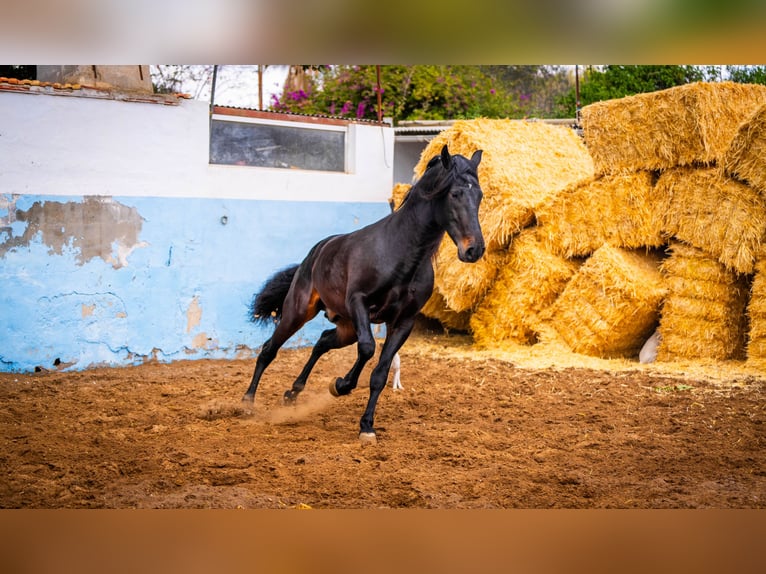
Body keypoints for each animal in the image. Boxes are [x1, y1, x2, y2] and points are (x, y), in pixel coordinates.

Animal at [243, 146, 486, 444]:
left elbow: (380, 372)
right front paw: (341, 385)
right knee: (269, 349)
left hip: (345, 327)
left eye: (479, 195)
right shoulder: (359, 303)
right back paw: (247, 402)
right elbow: (368, 348)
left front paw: (366, 425)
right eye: (455, 194)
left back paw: (292, 393)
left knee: (322, 342)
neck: (400, 253)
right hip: (298, 312)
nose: (474, 250)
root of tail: (315, 253)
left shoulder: (403, 321)